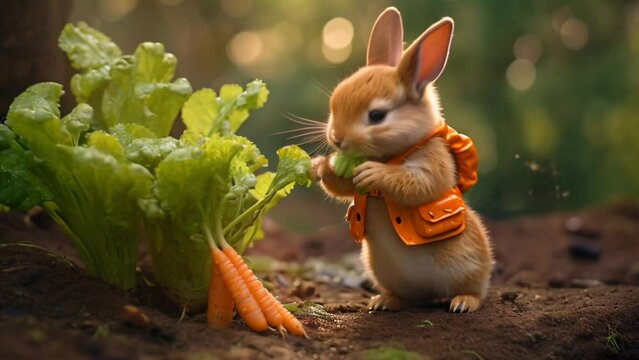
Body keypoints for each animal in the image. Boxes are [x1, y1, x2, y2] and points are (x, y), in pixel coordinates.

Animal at [310, 7, 496, 314]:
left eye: (377, 116)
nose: (337, 139)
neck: (389, 154)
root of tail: (429, 295)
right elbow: (341, 187)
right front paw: (320, 166)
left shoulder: (433, 159)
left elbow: (419, 184)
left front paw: (373, 174)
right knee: (407, 298)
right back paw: (384, 301)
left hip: (469, 267)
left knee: (475, 292)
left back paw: (461, 303)